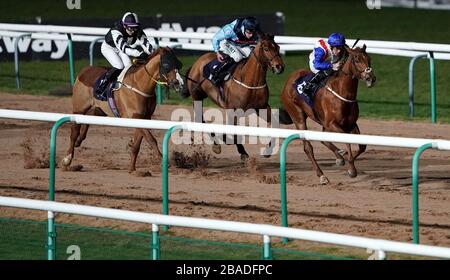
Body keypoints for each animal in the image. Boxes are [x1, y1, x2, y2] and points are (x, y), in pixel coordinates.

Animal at [280, 44, 374, 185]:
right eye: (356, 60)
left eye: (369, 59)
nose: (371, 78)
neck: (343, 93)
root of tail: (288, 79)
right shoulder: (332, 124)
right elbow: (347, 141)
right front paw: (352, 170)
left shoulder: (350, 123)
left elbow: (362, 146)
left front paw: (346, 159)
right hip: (298, 116)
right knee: (308, 147)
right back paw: (322, 175)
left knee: (323, 137)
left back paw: (339, 156)